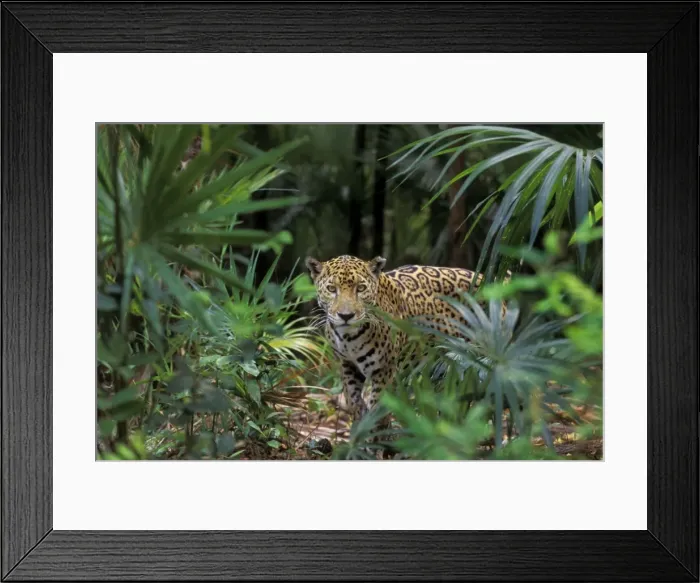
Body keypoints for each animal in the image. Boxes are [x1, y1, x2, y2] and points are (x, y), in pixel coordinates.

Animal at [305, 254, 506, 424]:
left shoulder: (386, 371)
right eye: (332, 289)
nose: (346, 316)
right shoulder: (347, 366)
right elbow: (354, 403)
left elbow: (378, 412)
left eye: (360, 288)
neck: (349, 339)